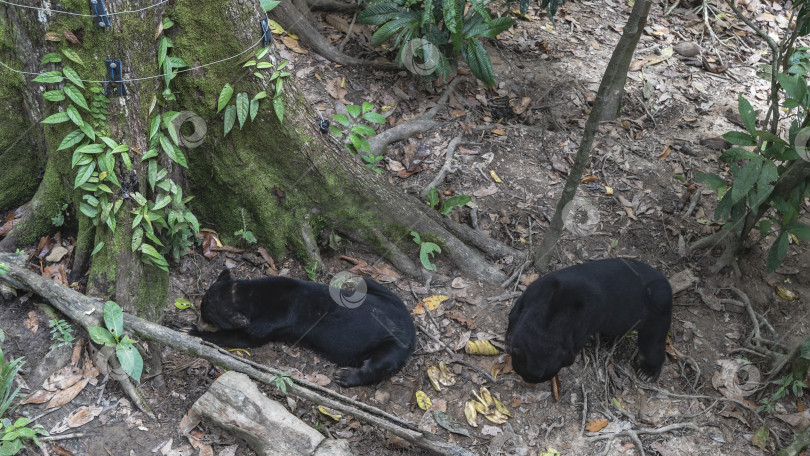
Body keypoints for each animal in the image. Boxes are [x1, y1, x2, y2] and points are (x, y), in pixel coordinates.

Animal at [190, 270, 416, 388]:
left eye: (208, 316)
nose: (199, 321)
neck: (251, 296)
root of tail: (410, 325)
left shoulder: (266, 325)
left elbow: (239, 338)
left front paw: (193, 331)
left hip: (393, 345)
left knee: (377, 365)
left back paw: (345, 377)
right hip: (386, 296)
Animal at [504, 258, 668, 382]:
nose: (527, 381)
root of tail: (665, 281)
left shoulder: (586, 321)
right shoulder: (537, 290)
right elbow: (514, 313)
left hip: (657, 310)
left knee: (653, 343)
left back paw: (647, 373)